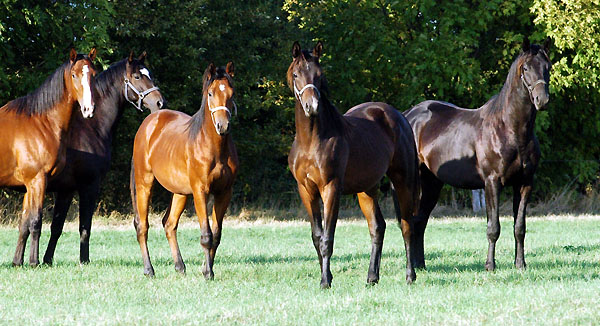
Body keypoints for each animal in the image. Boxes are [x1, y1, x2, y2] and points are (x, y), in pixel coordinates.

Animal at [0, 49, 97, 268]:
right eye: (74, 75)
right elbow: (36, 221)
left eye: (94, 75)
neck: (41, 122)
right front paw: (34, 262)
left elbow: (24, 224)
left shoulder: (29, 185)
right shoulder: (38, 180)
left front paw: (18, 262)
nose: (88, 109)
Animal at [42, 51, 165, 264]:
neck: (89, 127)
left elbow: (56, 227)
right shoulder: (89, 185)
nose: (159, 102)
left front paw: (47, 260)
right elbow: (84, 227)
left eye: (149, 74)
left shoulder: (66, 189)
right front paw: (84, 260)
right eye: (137, 76)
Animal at [131, 63, 237, 278]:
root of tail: (149, 122)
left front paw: (206, 268)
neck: (214, 148)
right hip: (144, 183)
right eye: (211, 93)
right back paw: (149, 270)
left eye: (232, 93)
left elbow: (216, 235)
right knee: (143, 226)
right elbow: (206, 235)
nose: (223, 126)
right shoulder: (200, 191)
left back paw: (180, 266)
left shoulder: (224, 193)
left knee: (170, 224)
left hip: (179, 192)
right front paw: (208, 273)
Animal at [288, 41, 420, 288]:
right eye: (296, 74)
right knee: (377, 227)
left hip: (403, 181)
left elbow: (328, 238)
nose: (312, 106)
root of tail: (399, 116)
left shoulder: (330, 188)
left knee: (407, 226)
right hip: (366, 189)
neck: (311, 141)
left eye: (319, 75)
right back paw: (372, 277)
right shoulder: (306, 191)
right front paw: (326, 276)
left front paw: (325, 281)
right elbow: (317, 237)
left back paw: (410, 276)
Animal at [404, 36, 552, 270]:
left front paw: (520, 264)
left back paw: (420, 265)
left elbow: (520, 227)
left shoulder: (525, 183)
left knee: (420, 221)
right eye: (526, 68)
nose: (542, 100)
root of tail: (408, 115)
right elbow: (493, 228)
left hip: (432, 183)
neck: (510, 129)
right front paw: (490, 265)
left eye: (548, 67)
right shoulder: (492, 182)